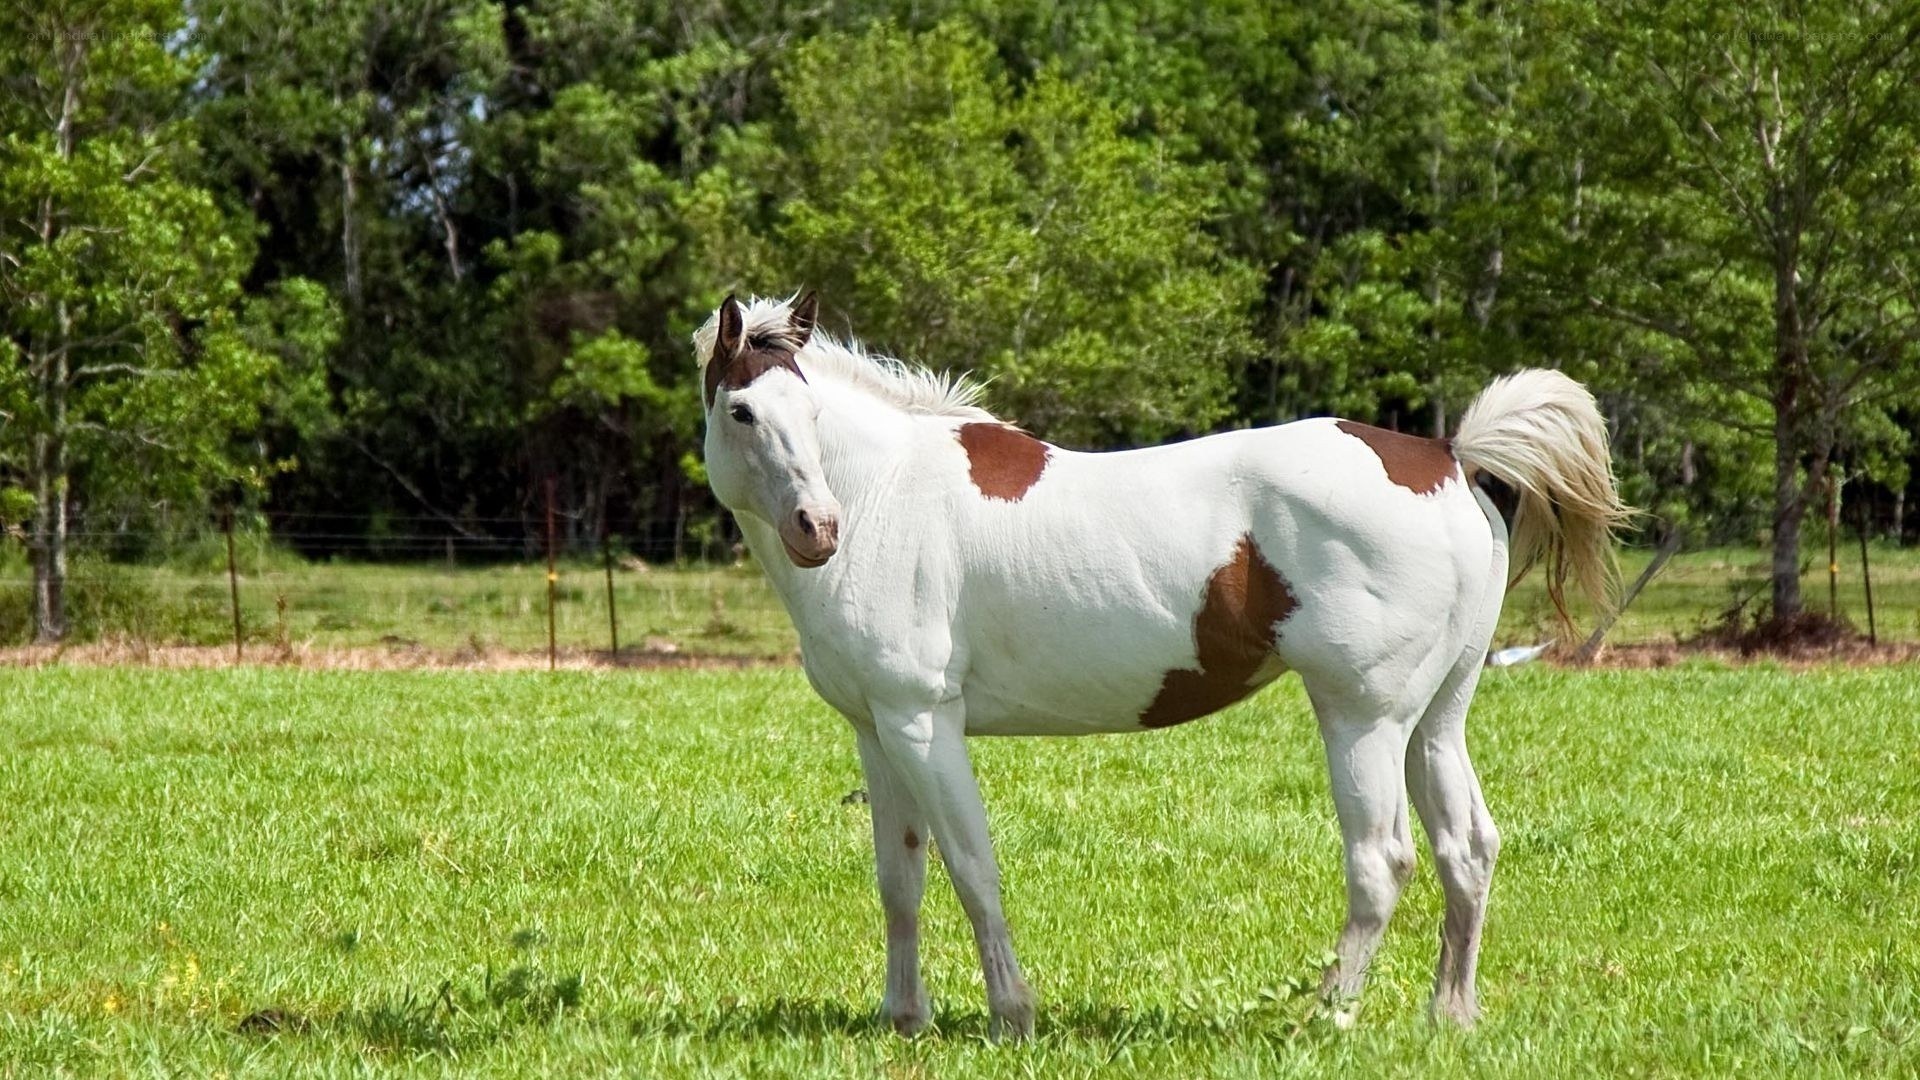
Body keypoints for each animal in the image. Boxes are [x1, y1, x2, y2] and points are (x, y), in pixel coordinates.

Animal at [694, 292, 1628, 1039]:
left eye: (809, 415)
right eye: (743, 410)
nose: (818, 528)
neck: (888, 494)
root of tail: (1445, 458)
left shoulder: (925, 724)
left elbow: (971, 867)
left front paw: (1011, 1016)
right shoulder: (877, 730)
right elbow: (901, 879)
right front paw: (903, 1018)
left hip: (1363, 718)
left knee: (1382, 861)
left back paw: (1324, 1015)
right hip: (1435, 720)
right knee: (1466, 849)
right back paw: (1450, 1015)